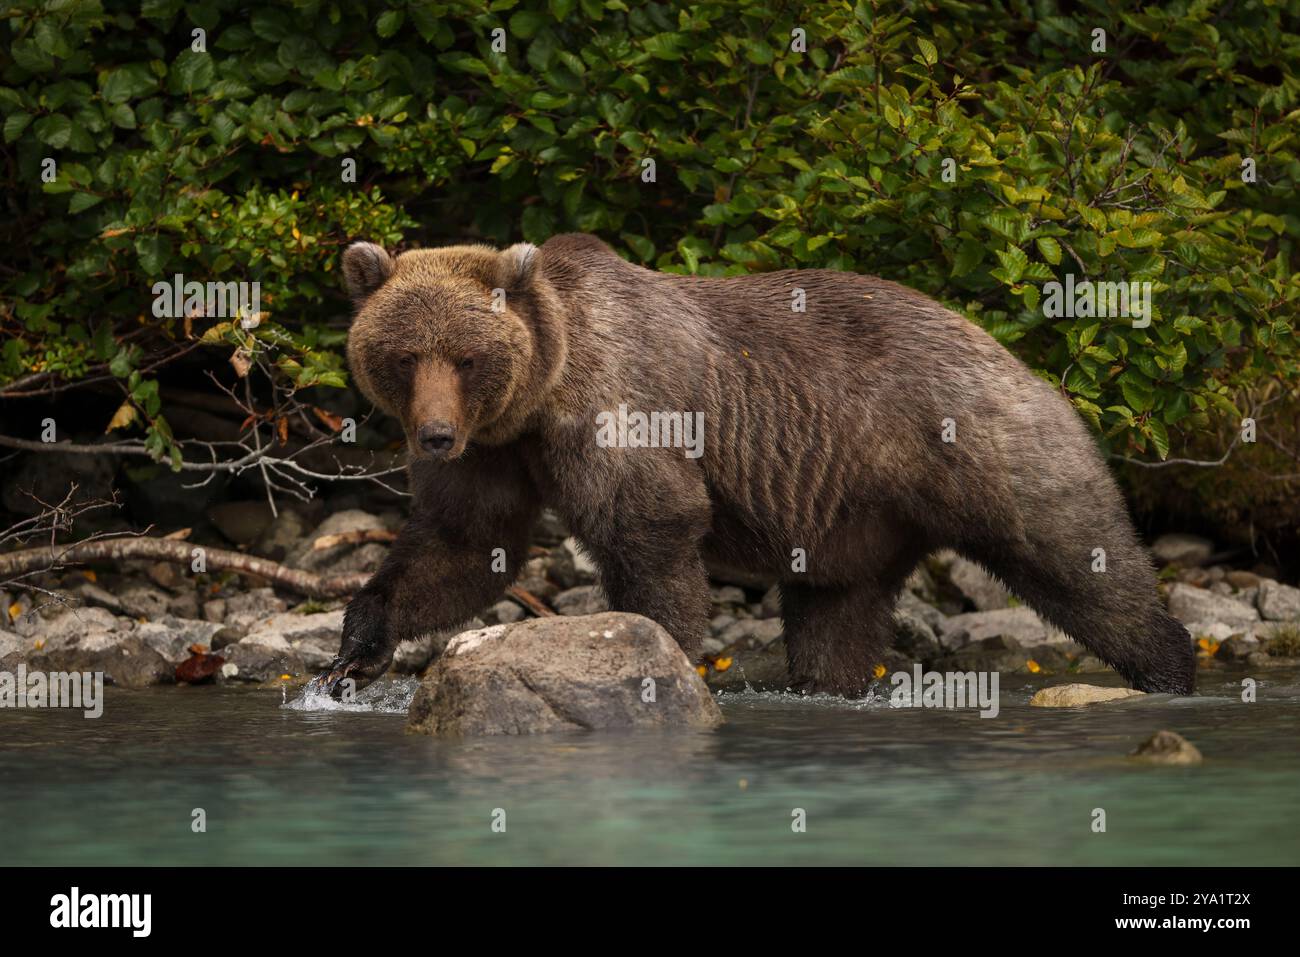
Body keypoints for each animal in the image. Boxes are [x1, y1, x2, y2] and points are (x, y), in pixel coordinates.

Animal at [311, 232, 1195, 698]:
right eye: (402, 354)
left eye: (466, 356)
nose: (432, 436)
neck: (541, 396)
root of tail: (1027, 365)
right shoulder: (497, 450)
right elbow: (463, 545)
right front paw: (355, 648)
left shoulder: (616, 407)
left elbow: (652, 525)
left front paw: (655, 655)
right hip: (855, 515)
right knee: (835, 616)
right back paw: (831, 683)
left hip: (988, 448)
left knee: (1078, 558)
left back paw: (1171, 667)